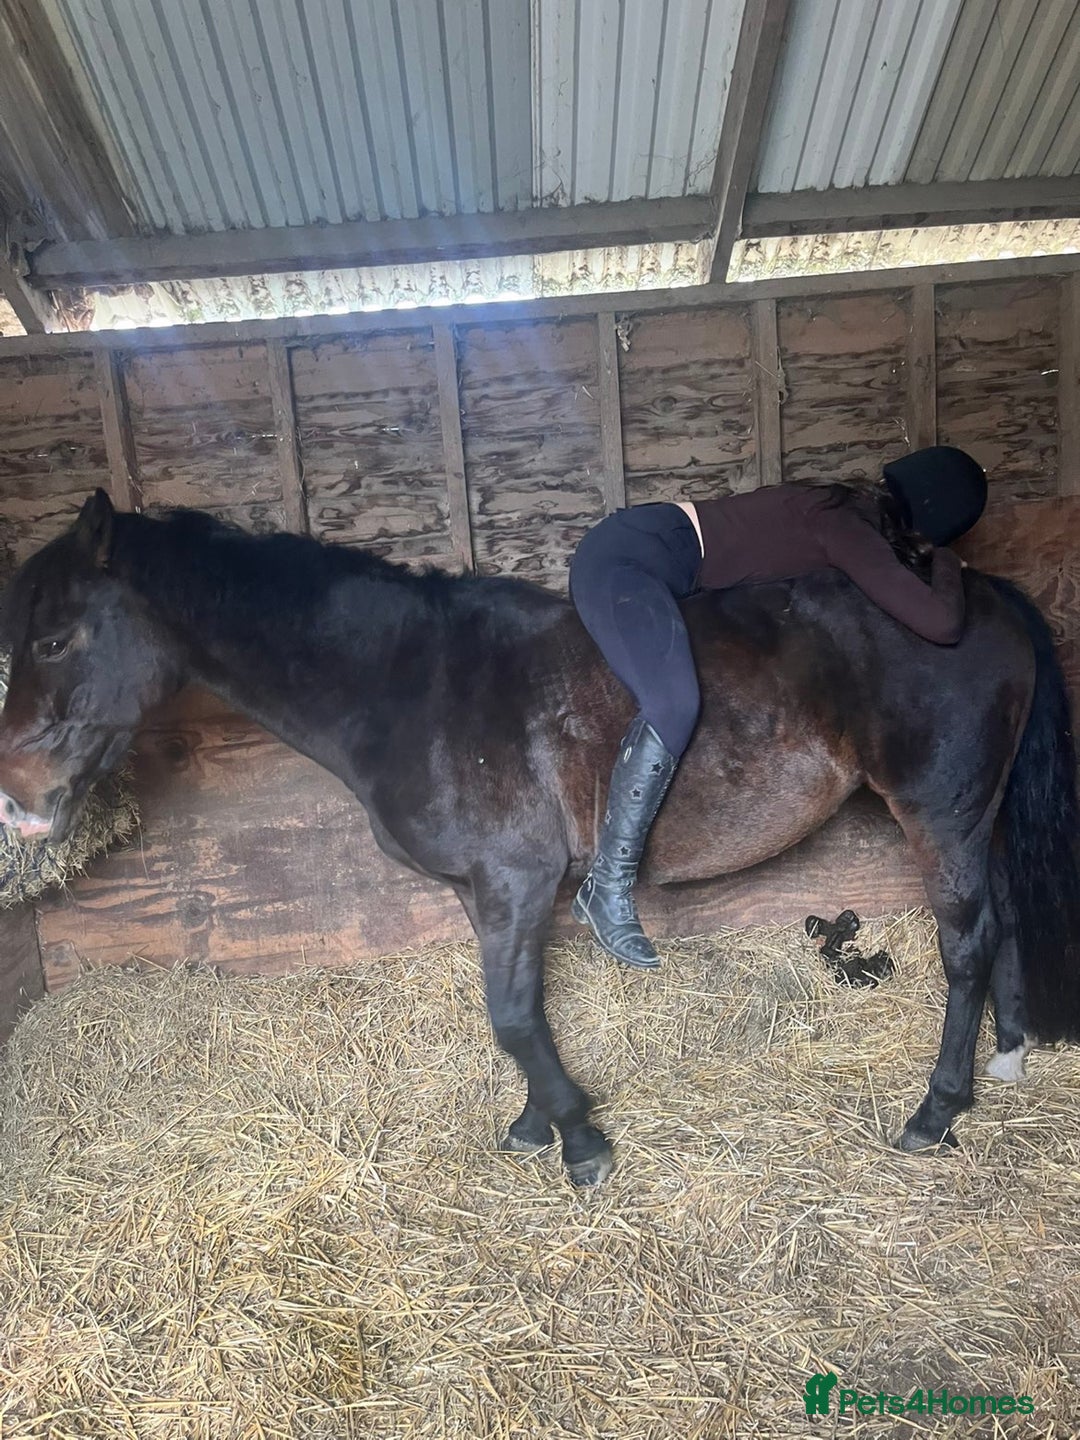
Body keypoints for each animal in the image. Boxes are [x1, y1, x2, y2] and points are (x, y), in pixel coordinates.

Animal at [0, 489, 1077, 1187]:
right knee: (1005, 921)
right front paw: (537, 1123)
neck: (409, 680)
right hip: (974, 816)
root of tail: (978, 593)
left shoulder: (513, 879)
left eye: (53, 640)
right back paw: (1010, 1059)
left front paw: (581, 1143)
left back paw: (936, 1111)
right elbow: (523, 1014)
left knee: (966, 945)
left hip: (937, 812)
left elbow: (514, 1019)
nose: (18, 799)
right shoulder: (491, 895)